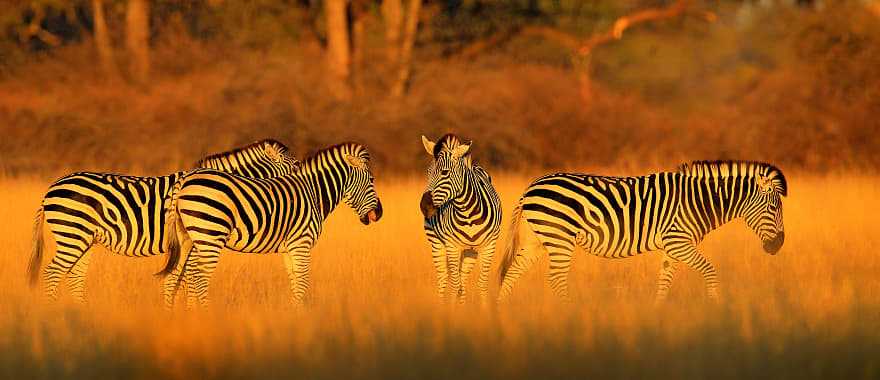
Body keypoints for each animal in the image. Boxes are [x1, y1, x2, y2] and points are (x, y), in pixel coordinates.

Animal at [25, 140, 300, 302]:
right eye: (296, 165)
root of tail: (51, 187)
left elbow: (182, 281)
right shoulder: (194, 243)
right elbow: (187, 281)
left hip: (84, 239)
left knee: (74, 277)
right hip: (73, 233)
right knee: (53, 273)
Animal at [157, 141, 382, 308]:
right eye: (371, 179)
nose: (379, 214)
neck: (313, 192)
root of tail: (185, 180)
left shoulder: (290, 248)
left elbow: (295, 282)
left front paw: (296, 314)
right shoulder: (302, 243)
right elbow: (303, 282)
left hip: (187, 238)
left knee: (174, 277)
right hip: (210, 234)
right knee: (199, 278)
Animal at [422, 135, 502, 304]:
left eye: (445, 172)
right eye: (428, 172)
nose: (424, 206)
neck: (468, 213)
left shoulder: (489, 246)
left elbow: (481, 283)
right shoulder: (452, 246)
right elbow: (453, 284)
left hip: (470, 251)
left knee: (462, 278)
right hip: (436, 242)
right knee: (443, 278)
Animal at [498, 160, 788, 302]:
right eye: (774, 208)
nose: (778, 246)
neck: (699, 202)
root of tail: (530, 187)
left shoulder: (672, 246)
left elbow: (665, 280)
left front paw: (657, 313)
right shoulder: (679, 241)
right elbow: (710, 270)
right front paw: (716, 306)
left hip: (537, 240)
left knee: (511, 273)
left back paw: (500, 313)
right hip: (559, 238)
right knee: (556, 279)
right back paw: (569, 312)